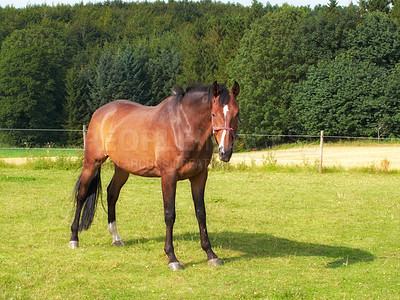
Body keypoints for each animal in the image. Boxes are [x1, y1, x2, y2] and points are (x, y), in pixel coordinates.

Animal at [68, 81, 241, 270]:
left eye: (237, 113)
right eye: (213, 113)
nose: (225, 152)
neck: (183, 127)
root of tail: (100, 112)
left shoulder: (199, 176)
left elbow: (201, 213)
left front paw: (211, 254)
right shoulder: (168, 176)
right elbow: (169, 214)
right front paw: (172, 257)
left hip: (122, 169)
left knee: (112, 194)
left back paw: (116, 237)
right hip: (92, 163)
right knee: (82, 195)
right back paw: (74, 238)